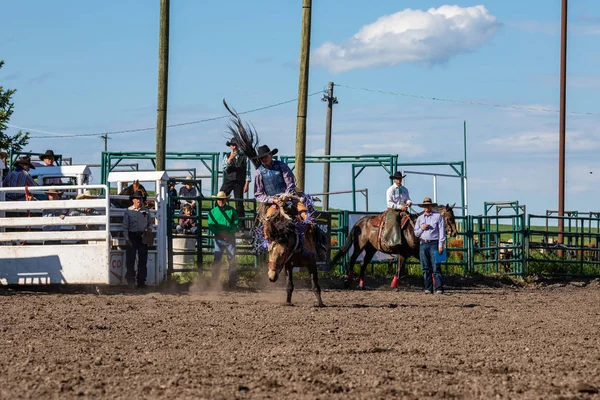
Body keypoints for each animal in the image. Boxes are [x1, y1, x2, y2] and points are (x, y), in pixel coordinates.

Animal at [332, 205, 460, 290]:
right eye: (449, 218)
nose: (454, 232)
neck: (414, 228)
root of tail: (360, 222)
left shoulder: (417, 252)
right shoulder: (404, 253)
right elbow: (399, 268)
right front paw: (394, 285)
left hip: (371, 249)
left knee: (363, 263)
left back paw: (361, 284)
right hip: (359, 246)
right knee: (352, 260)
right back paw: (348, 282)